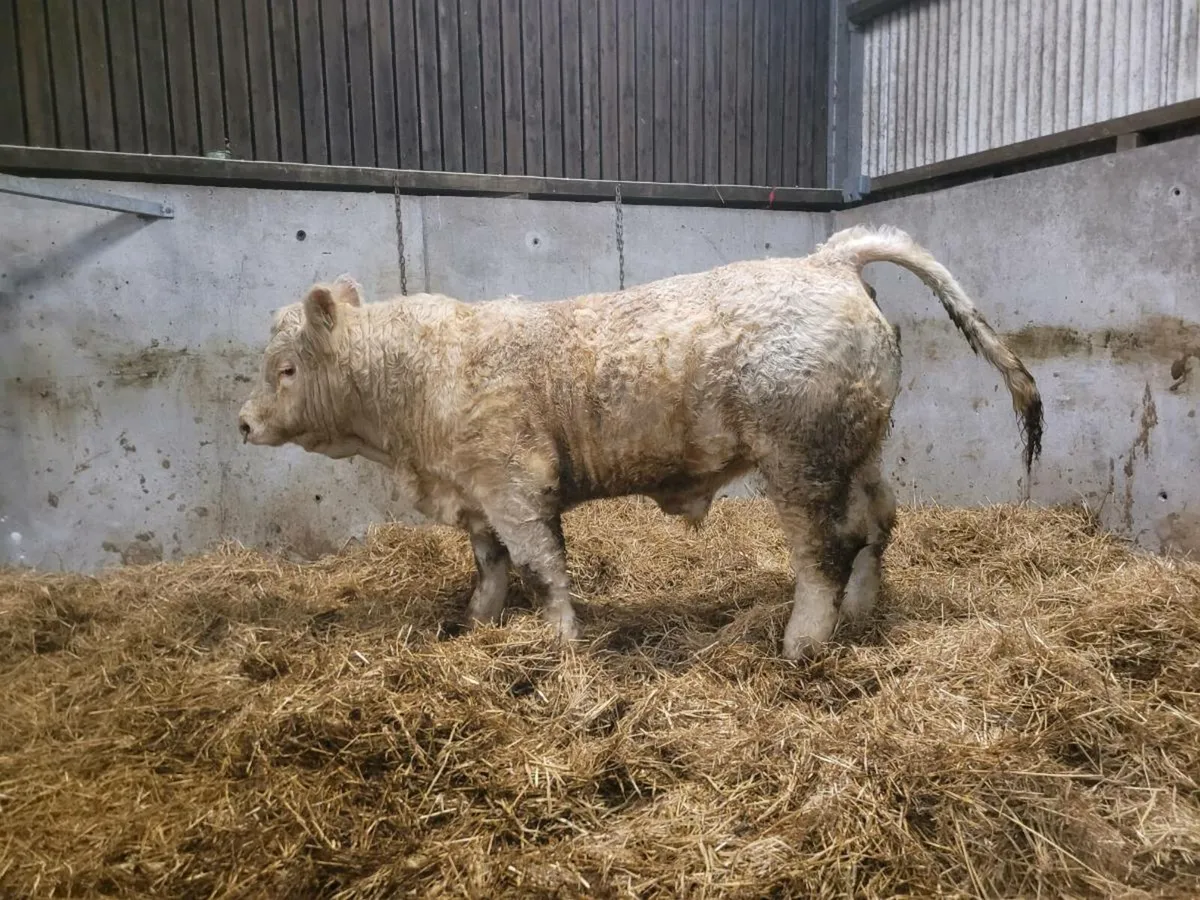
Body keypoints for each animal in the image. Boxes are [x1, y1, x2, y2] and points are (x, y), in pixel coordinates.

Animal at [238, 225, 1043, 660]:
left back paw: (804, 641)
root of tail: (827, 261)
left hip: (799, 460)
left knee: (824, 551)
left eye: (286, 368)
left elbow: (542, 572)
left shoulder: (516, 485)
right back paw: (861, 614)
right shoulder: (476, 494)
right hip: (860, 449)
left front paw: (562, 646)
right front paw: (477, 628)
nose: (243, 423)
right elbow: (490, 568)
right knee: (879, 523)